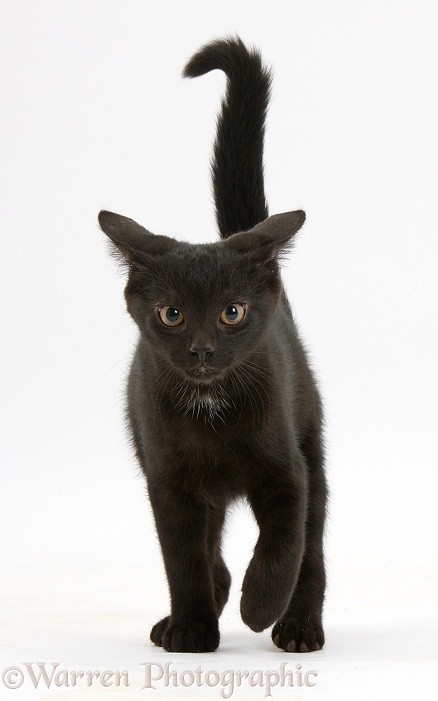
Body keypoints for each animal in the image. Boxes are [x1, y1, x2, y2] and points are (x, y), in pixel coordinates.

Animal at [98, 37, 326, 652]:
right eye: (172, 314)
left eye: (232, 312)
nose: (201, 350)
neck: (211, 409)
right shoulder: (169, 482)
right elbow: (183, 559)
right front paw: (193, 627)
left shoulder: (286, 470)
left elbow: (284, 544)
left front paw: (259, 606)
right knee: (211, 549)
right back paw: (182, 617)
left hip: (312, 437)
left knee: (313, 547)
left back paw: (299, 627)